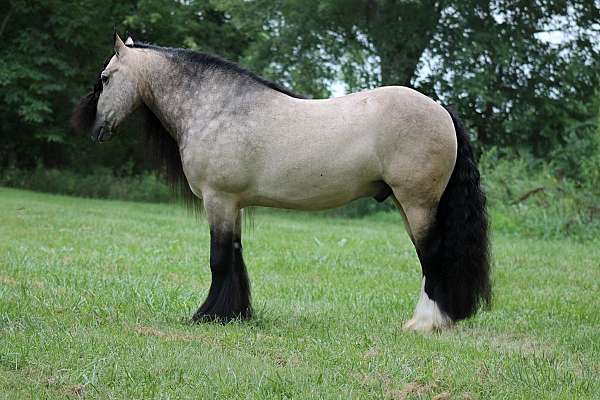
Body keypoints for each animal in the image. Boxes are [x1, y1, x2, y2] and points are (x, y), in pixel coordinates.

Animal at [71, 33, 492, 332]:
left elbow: (219, 259)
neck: (217, 108)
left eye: (105, 79)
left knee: (433, 256)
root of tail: (440, 108)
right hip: (408, 205)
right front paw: (235, 314)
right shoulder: (233, 205)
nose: (95, 130)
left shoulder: (218, 200)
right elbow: (235, 257)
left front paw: (207, 315)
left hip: (417, 203)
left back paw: (425, 323)